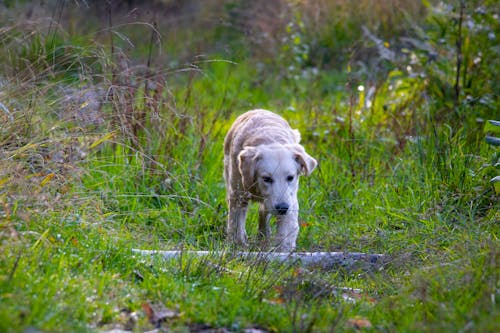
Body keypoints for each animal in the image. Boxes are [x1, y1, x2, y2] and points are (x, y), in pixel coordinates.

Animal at [223, 109, 316, 252]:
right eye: (266, 178)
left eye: (290, 178)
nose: (282, 208)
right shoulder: (238, 193)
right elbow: (236, 223)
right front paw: (237, 245)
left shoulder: (290, 201)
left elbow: (285, 232)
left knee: (263, 213)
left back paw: (264, 236)